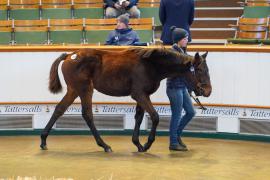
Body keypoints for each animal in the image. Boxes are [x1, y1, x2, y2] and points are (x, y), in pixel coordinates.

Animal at [40, 47, 211, 152]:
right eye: (200, 70)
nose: (207, 91)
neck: (150, 65)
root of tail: (70, 55)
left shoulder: (143, 95)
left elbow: (139, 117)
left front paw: (138, 144)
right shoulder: (139, 94)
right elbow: (155, 116)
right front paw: (147, 144)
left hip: (74, 90)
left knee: (59, 109)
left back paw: (43, 141)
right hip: (84, 90)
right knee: (87, 114)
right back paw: (104, 145)